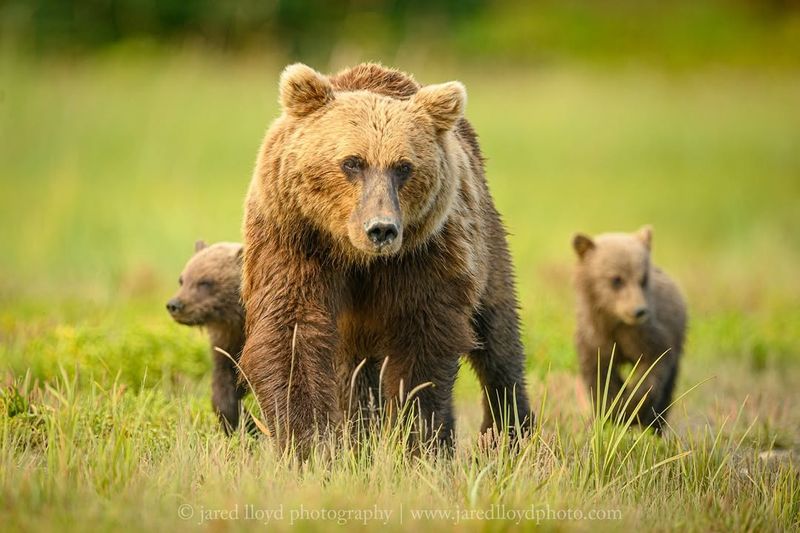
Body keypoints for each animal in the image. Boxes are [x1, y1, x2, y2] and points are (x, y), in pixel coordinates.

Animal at [241, 63, 536, 454]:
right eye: (352, 163)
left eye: (403, 167)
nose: (381, 229)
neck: (356, 256)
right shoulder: (295, 239)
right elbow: (292, 331)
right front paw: (309, 441)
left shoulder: (423, 256)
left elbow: (421, 347)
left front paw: (419, 441)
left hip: (486, 240)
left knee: (497, 335)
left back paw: (509, 432)